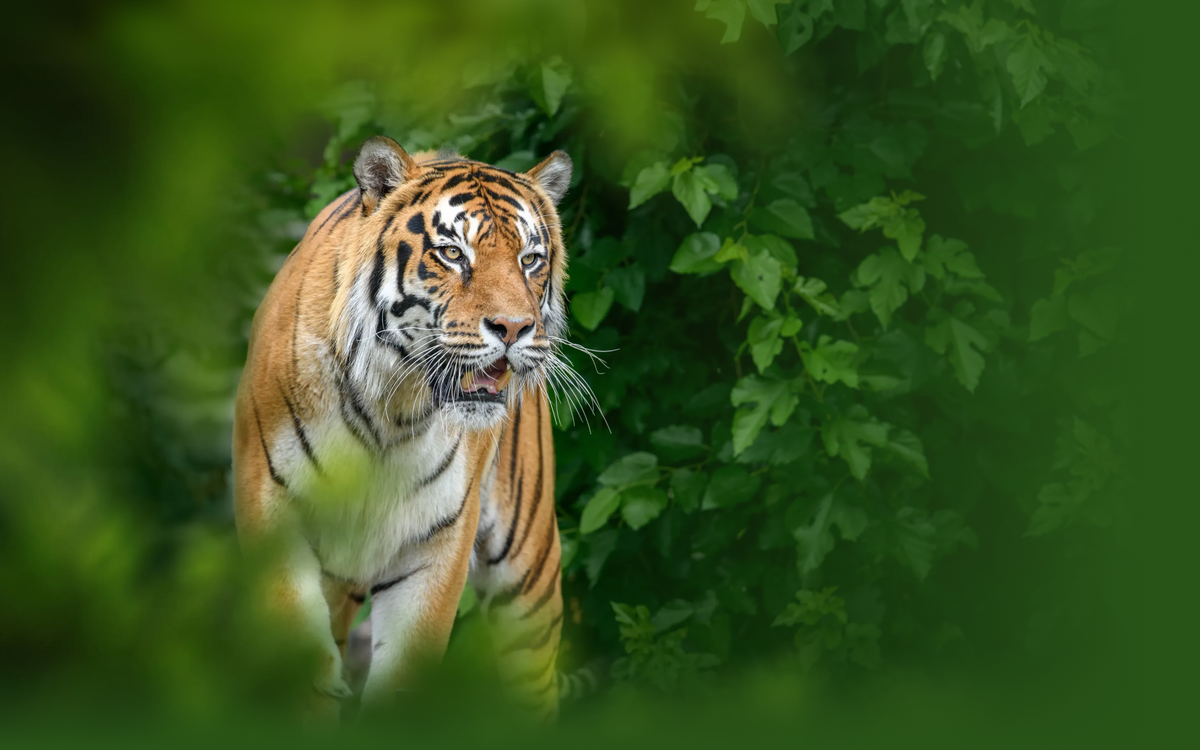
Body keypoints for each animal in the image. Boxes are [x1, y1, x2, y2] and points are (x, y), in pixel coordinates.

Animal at [232, 135, 574, 720]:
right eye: (453, 253)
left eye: (530, 259)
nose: (514, 328)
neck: (392, 411)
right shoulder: (275, 520)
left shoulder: (436, 543)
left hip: (527, 572)